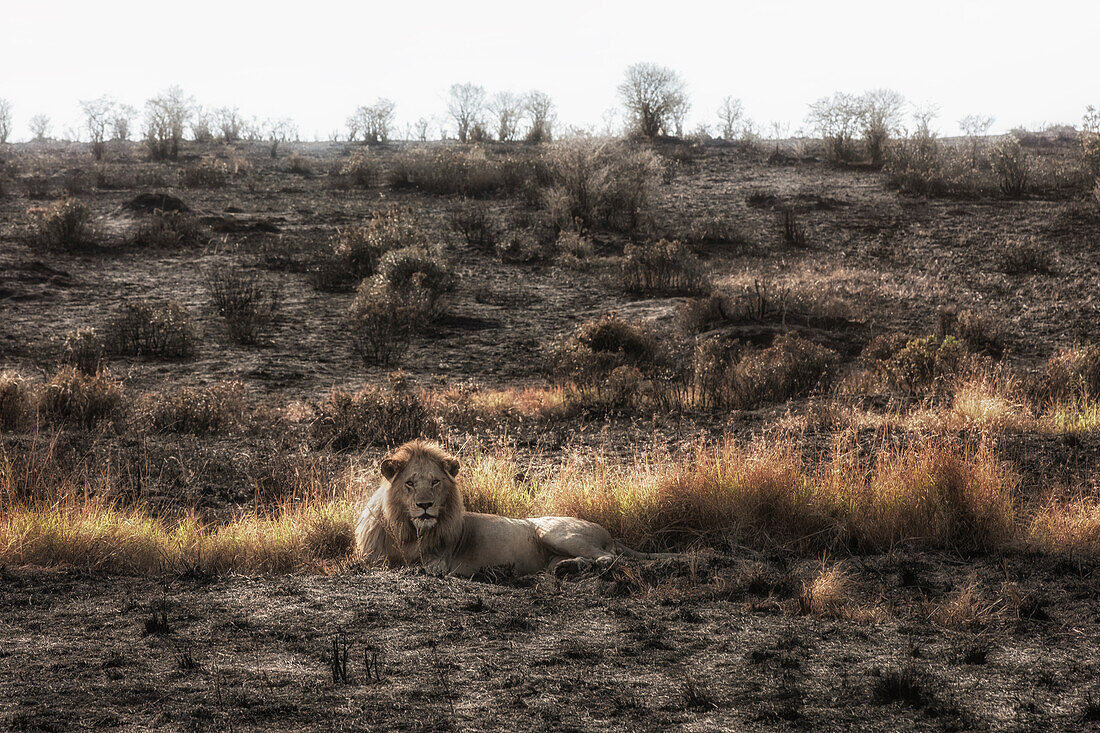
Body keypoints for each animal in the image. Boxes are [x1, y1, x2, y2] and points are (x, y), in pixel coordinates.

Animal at [356, 440, 673, 576]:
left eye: (435, 482)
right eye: (410, 483)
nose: (425, 506)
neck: (408, 530)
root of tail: (608, 532)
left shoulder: (440, 560)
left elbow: (418, 565)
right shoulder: (373, 557)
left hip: (553, 532)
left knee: (607, 558)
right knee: (585, 560)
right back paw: (566, 568)